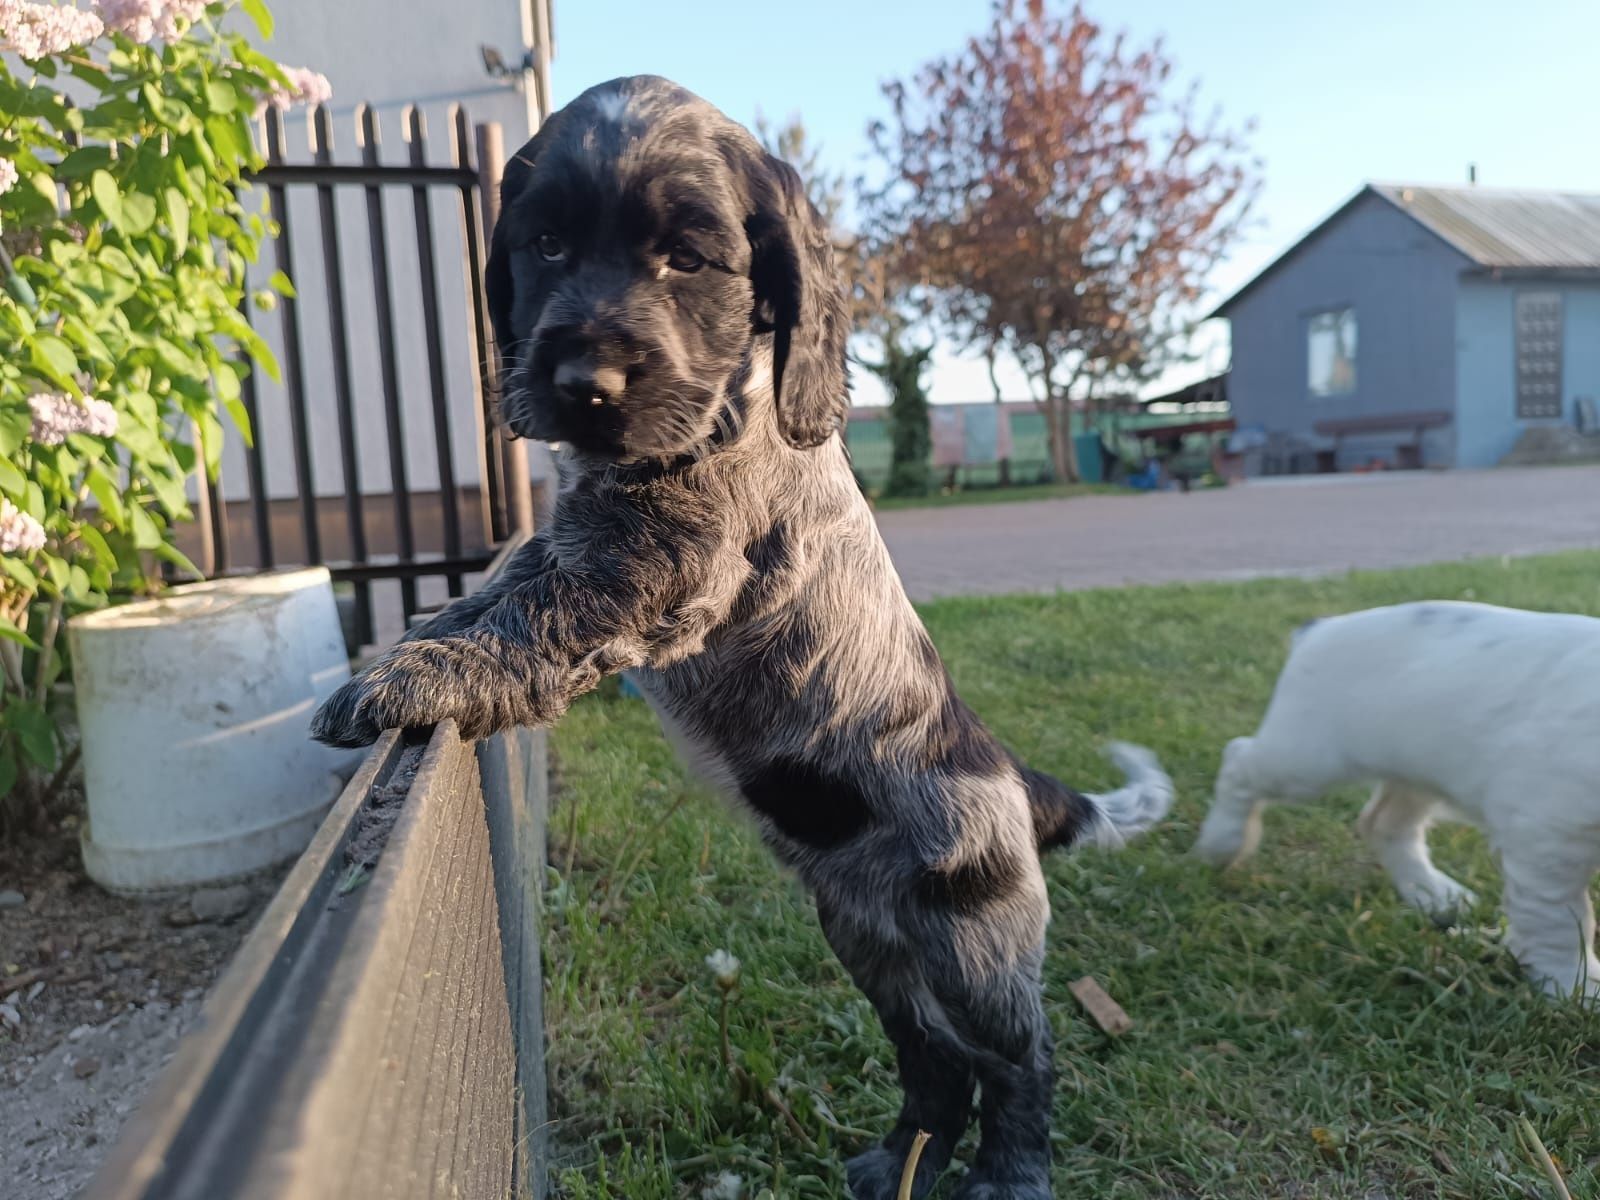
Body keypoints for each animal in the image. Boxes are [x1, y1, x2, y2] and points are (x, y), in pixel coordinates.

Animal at [312, 77, 1171, 1200]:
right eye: (544, 245)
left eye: (688, 257)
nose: (584, 383)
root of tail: (1016, 780)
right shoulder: (572, 543)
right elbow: (491, 595)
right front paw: (402, 651)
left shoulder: (658, 573)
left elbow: (528, 622)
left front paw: (407, 683)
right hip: (868, 942)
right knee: (934, 1060)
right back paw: (895, 1162)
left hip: (972, 944)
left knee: (1019, 1057)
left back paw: (1010, 1177)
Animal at [1196, 601, 1600, 1004]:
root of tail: (1320, 628)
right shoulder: (1547, 835)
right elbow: (1561, 921)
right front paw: (1576, 988)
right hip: (1305, 758)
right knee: (1238, 760)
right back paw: (1222, 845)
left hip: (1414, 774)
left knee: (1383, 824)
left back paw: (1434, 894)